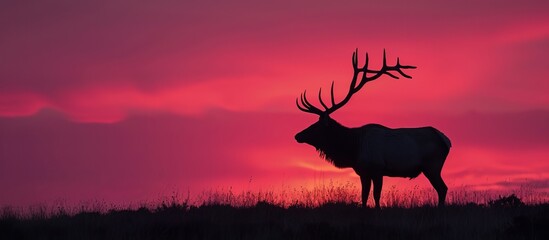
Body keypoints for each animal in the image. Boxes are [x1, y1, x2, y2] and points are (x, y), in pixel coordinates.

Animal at [296, 48, 450, 208]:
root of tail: (446, 140)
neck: (353, 148)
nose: (297, 135)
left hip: (432, 166)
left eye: (317, 126)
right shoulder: (364, 172)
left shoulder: (377, 169)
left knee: (443, 188)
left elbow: (376, 196)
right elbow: (364, 196)